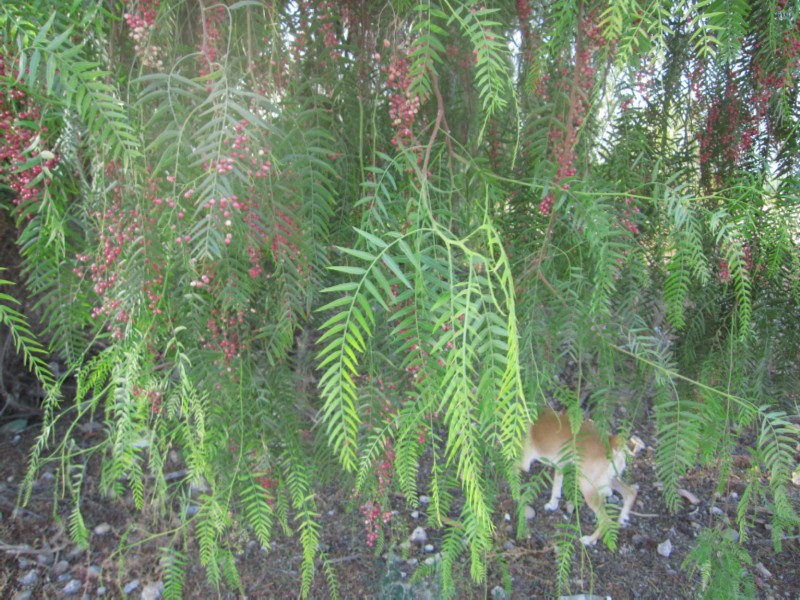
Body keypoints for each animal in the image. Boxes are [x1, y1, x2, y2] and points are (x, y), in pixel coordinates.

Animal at [520, 408, 644, 544]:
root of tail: (611, 442)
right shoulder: (560, 465)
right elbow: (556, 488)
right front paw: (552, 504)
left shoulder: (523, 464)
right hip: (609, 480)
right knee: (631, 491)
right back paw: (623, 518)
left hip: (588, 487)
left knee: (606, 520)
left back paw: (589, 540)